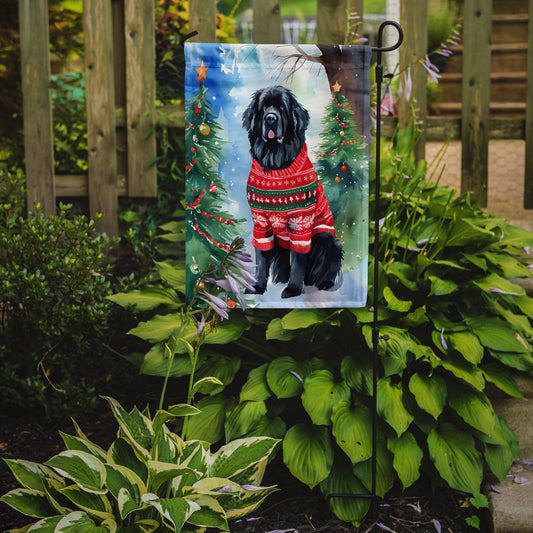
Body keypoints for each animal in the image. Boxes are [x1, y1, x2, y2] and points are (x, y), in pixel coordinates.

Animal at [242, 85, 343, 299]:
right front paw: (257, 287)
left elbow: (297, 260)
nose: (271, 118)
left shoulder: (301, 223)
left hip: (326, 239)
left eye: (281, 107)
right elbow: (261, 260)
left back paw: (323, 283)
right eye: (264, 107)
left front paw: (294, 289)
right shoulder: (261, 223)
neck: (276, 166)